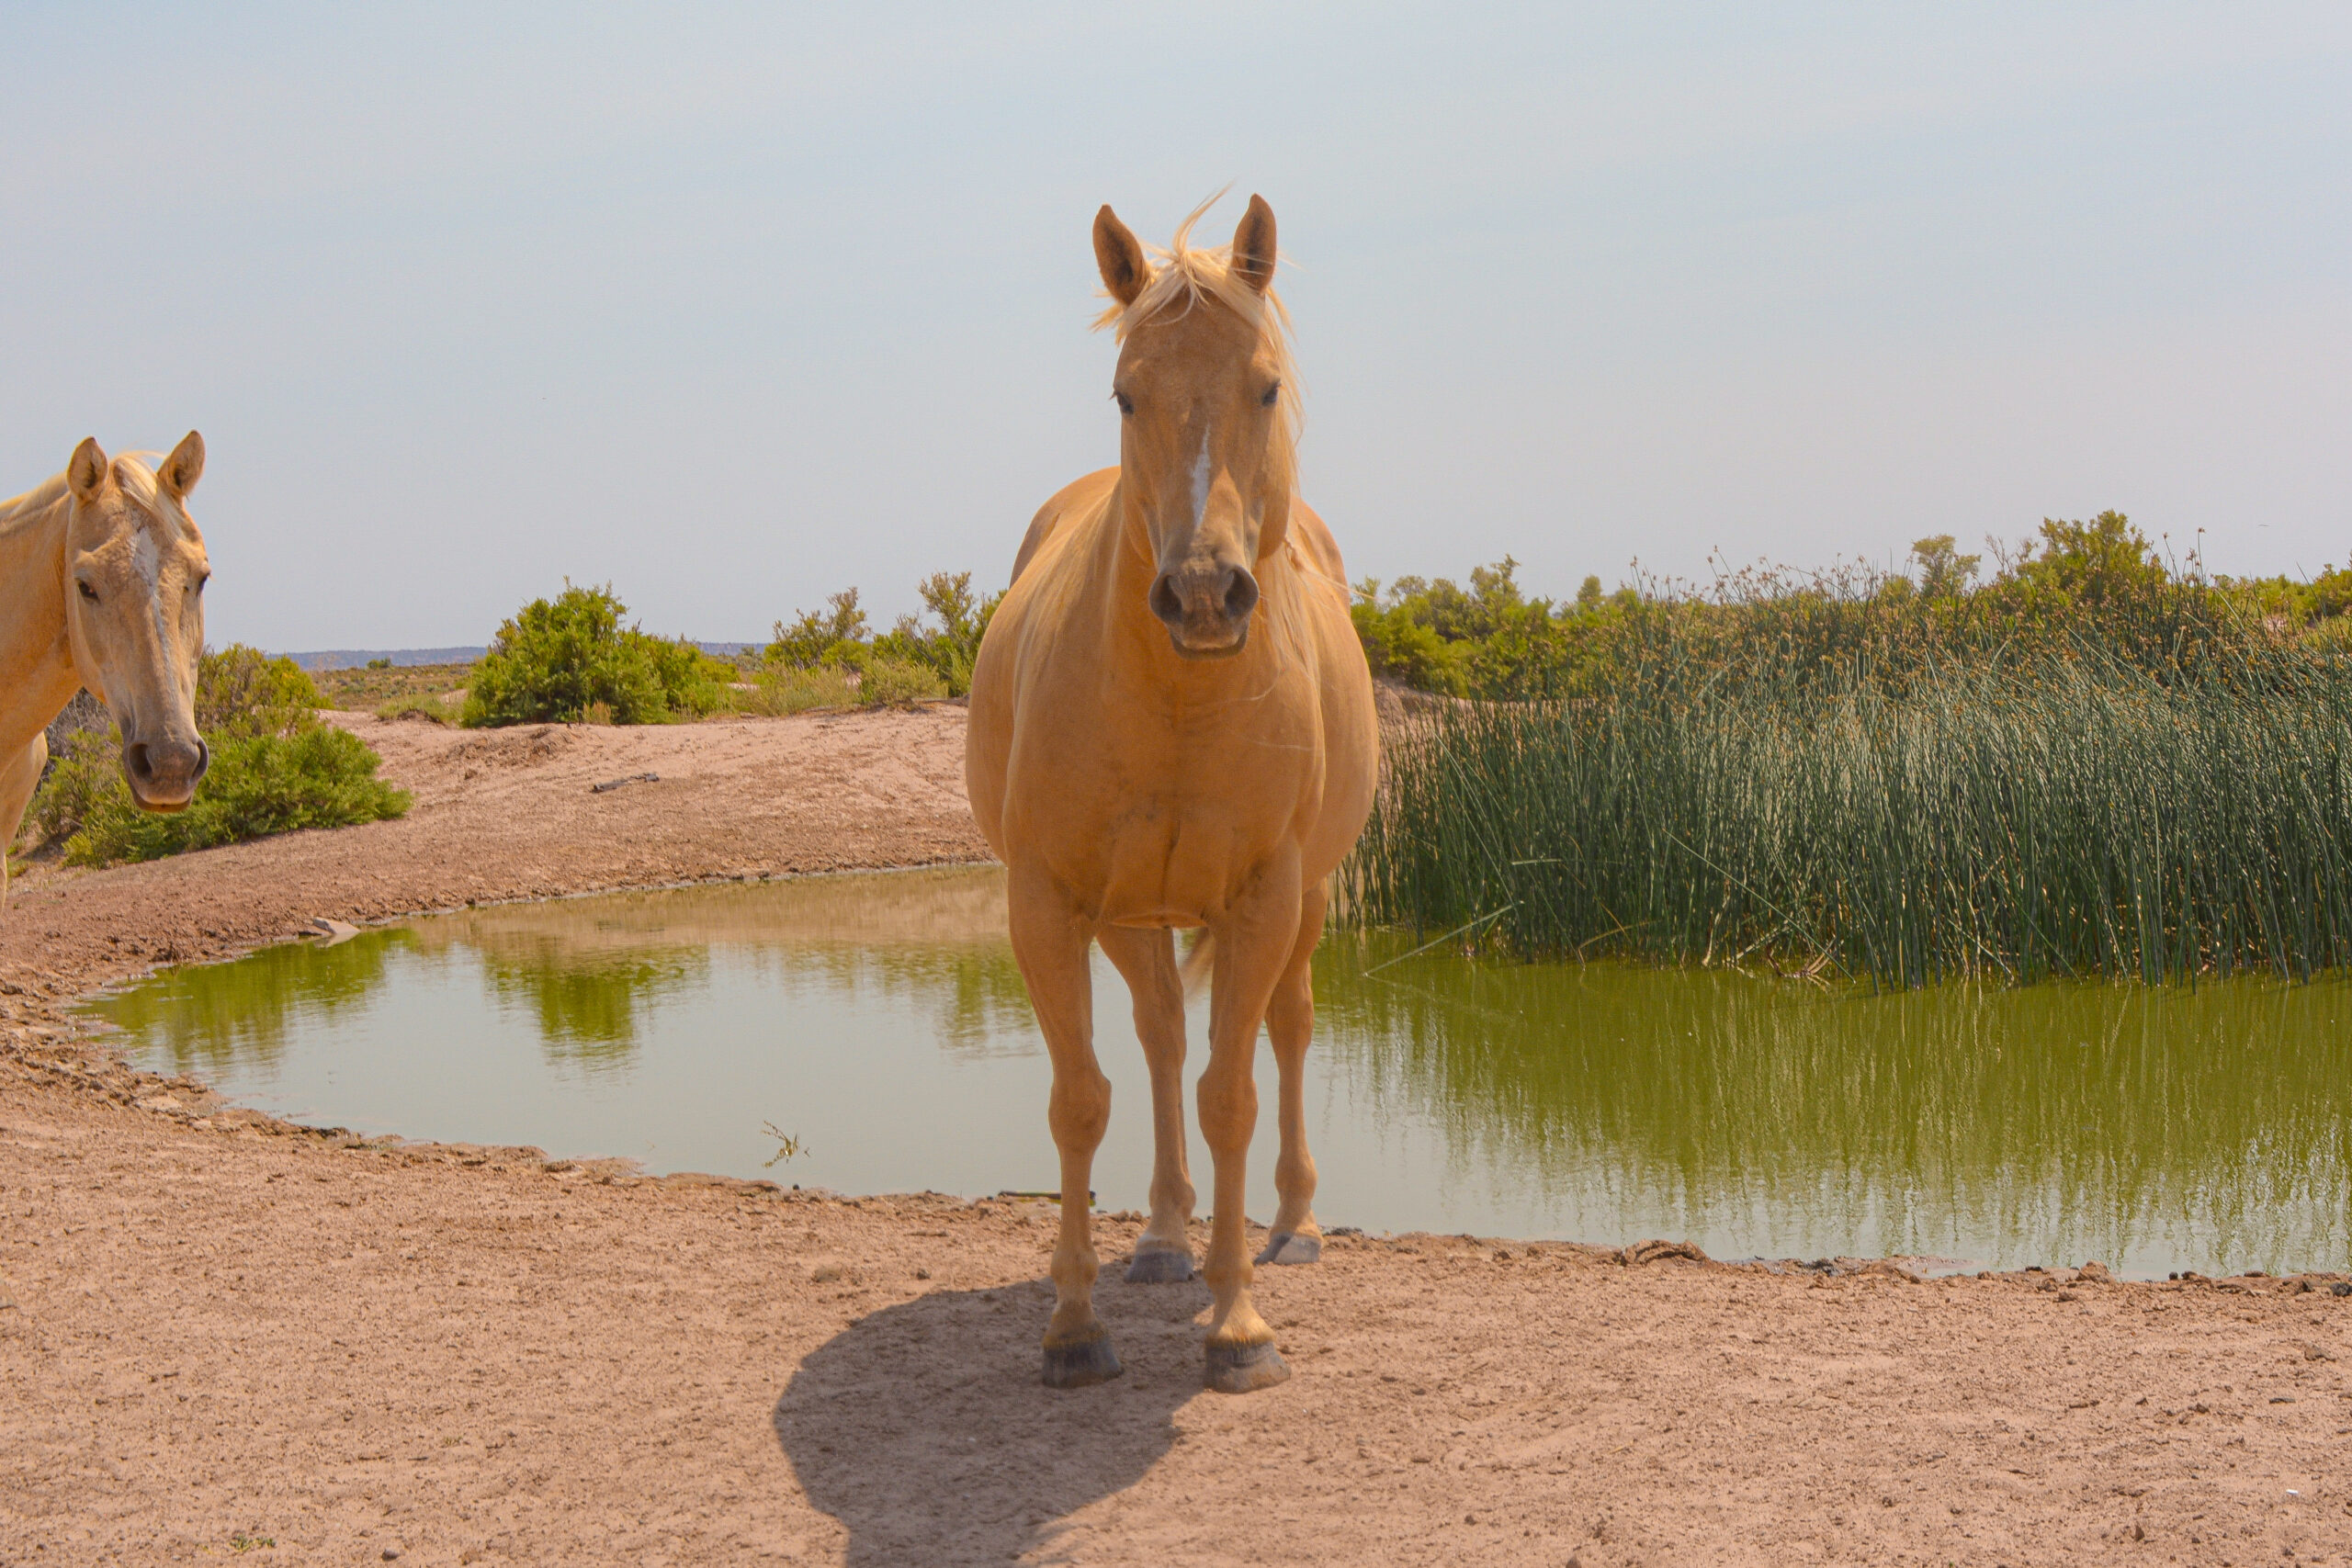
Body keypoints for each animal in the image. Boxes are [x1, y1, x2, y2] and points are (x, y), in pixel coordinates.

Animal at [966, 195, 1379, 1393]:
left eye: (1267, 386)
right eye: (1125, 393)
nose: (1202, 594)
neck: (1177, 701)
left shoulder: (1261, 901)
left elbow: (1230, 1095)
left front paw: (1238, 1327)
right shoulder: (1049, 905)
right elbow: (1082, 1099)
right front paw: (1073, 1326)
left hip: (1309, 903)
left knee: (1286, 1030)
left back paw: (1291, 1224)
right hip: (1132, 915)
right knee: (1154, 1039)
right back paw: (1158, 1238)